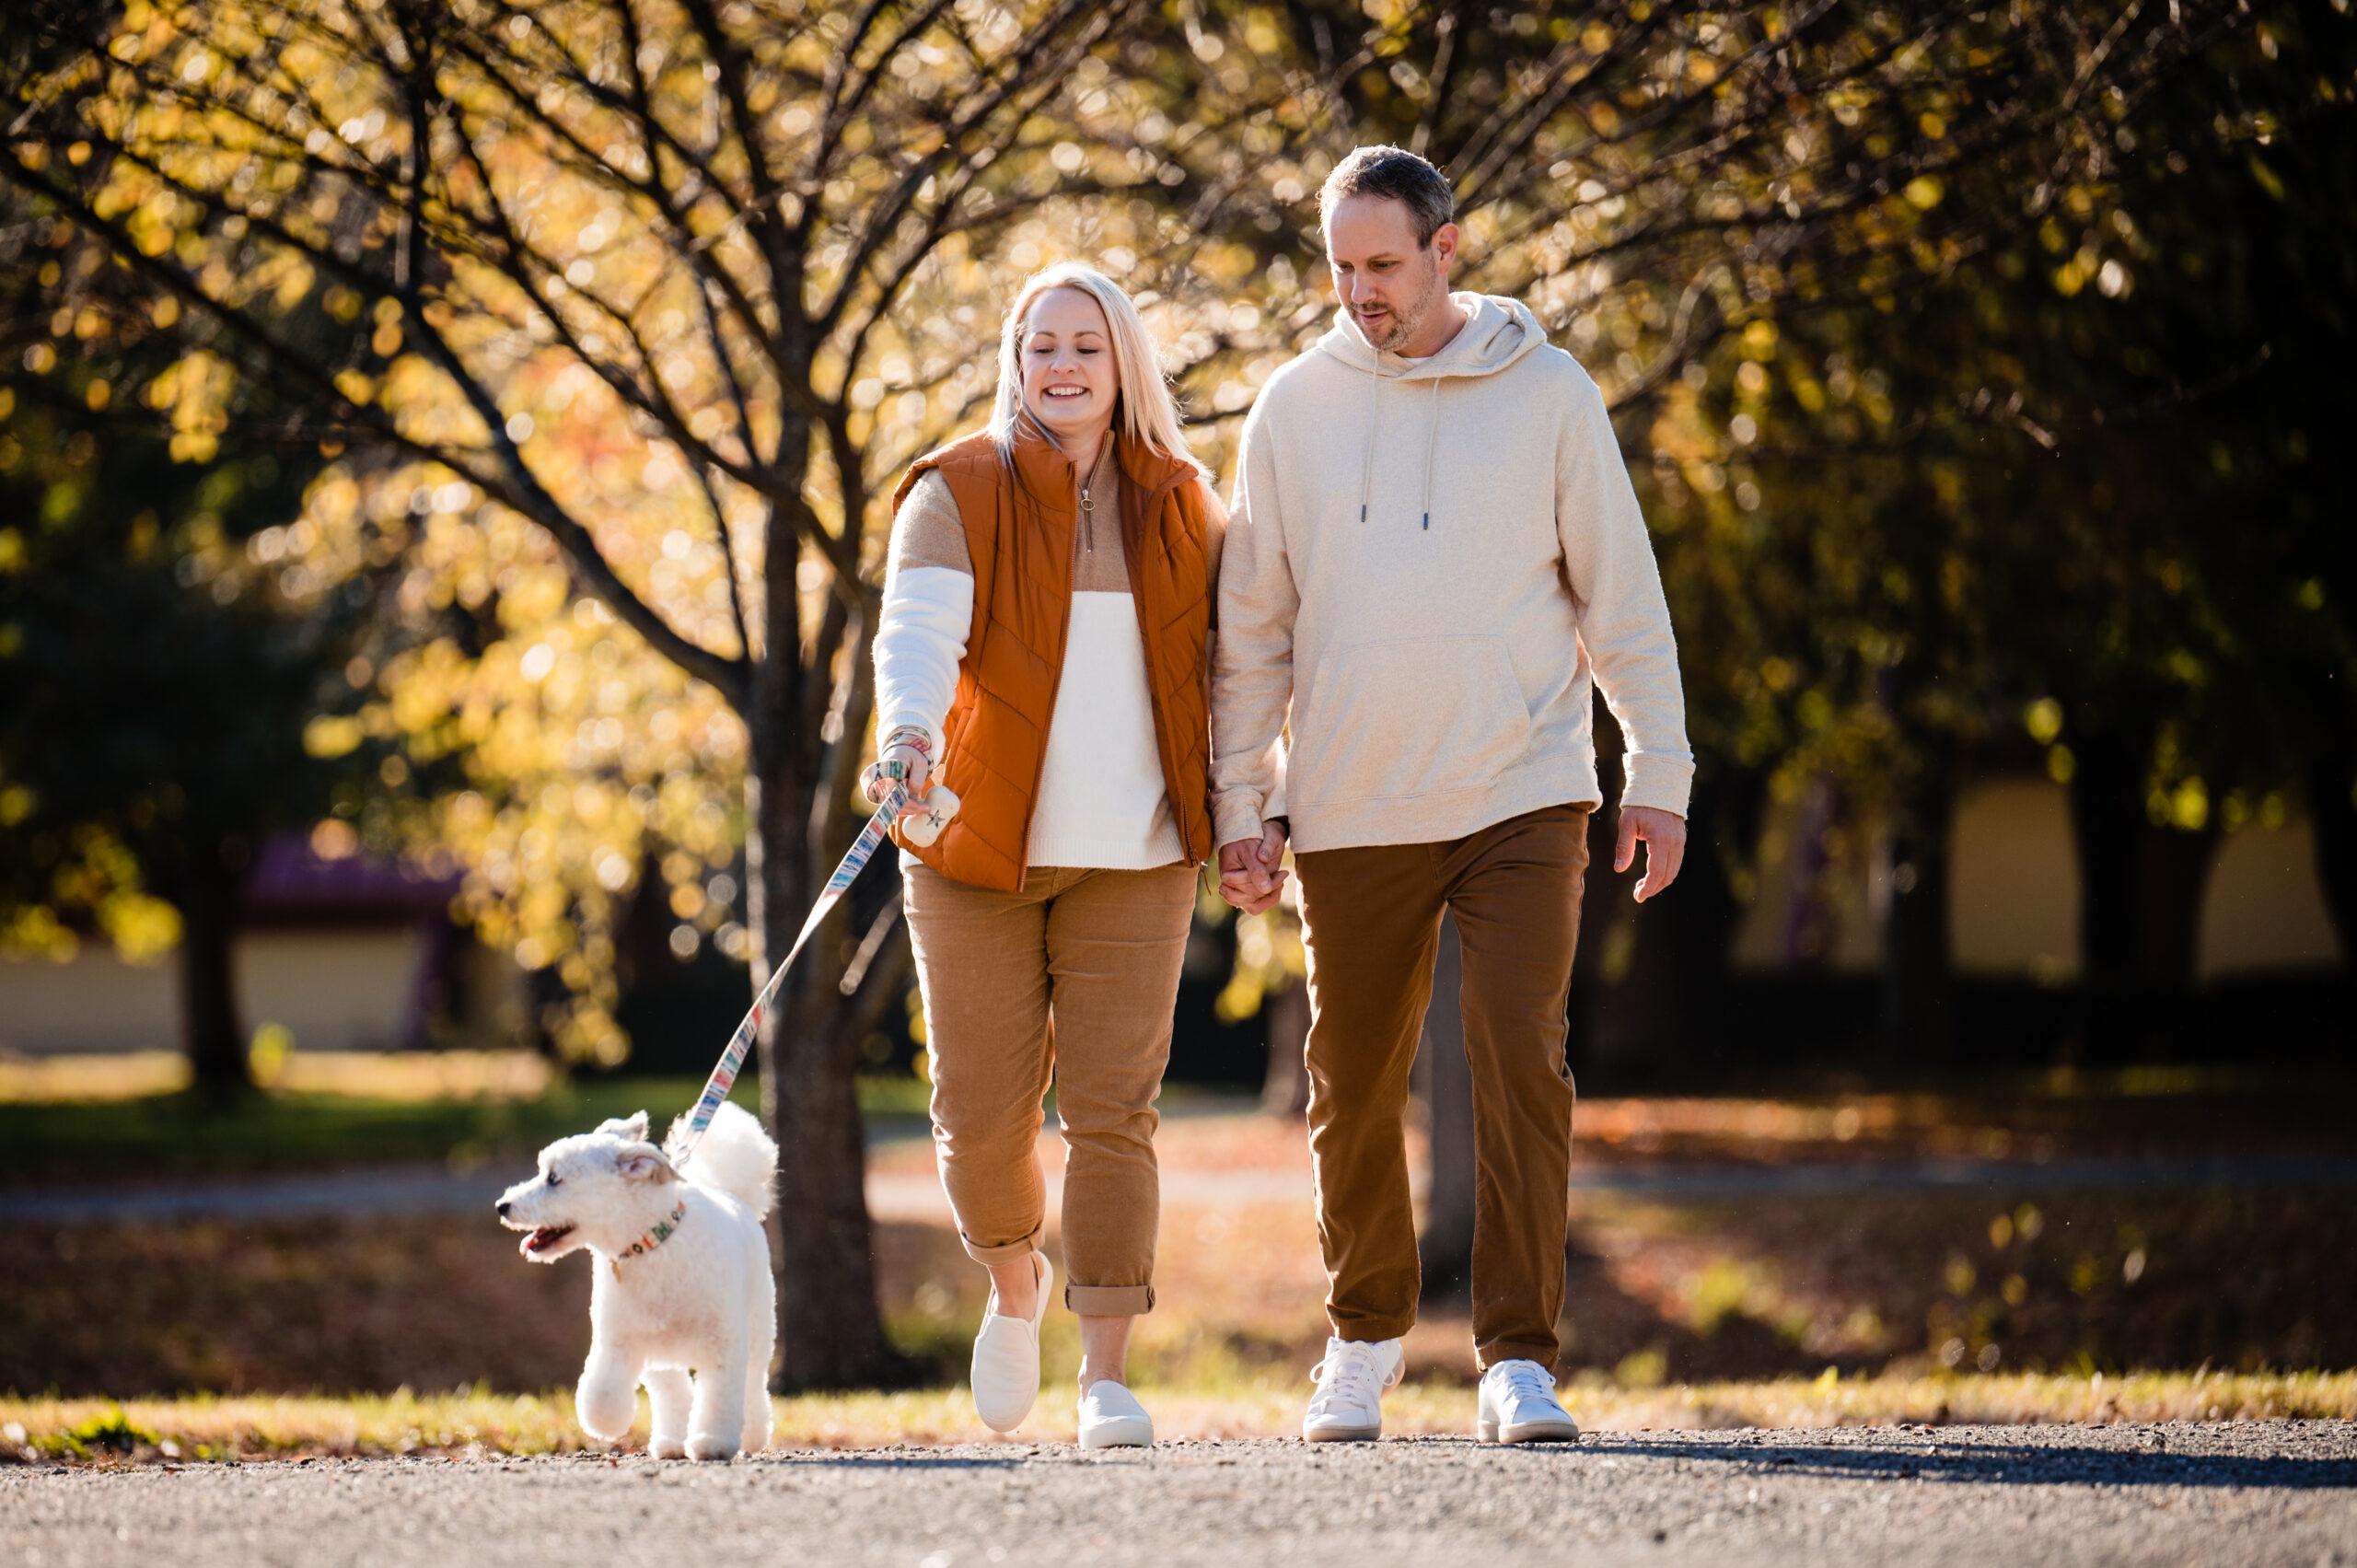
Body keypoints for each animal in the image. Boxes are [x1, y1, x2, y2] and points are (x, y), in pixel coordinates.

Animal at [499, 1098, 782, 1452]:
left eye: (553, 1178)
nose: (502, 1205)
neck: (651, 1244)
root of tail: (732, 1194)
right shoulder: (618, 1339)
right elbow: (602, 1391)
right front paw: (607, 1422)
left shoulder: (724, 1343)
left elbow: (720, 1398)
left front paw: (712, 1442)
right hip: (658, 1350)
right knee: (674, 1391)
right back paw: (672, 1442)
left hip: (758, 1327)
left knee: (753, 1385)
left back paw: (751, 1436)